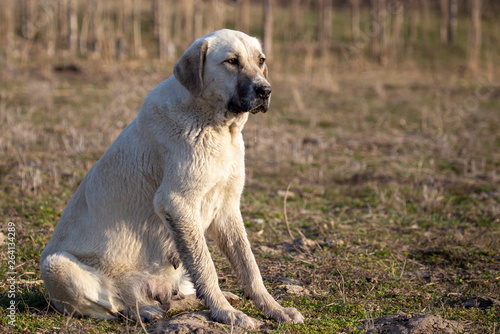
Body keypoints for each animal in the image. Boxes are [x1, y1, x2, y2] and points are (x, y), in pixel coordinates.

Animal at [40, 29, 304, 328]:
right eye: (231, 61)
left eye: (260, 60)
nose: (265, 90)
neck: (217, 127)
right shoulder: (177, 203)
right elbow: (207, 267)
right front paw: (225, 313)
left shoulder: (227, 208)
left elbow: (249, 266)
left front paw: (274, 309)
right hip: (56, 266)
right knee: (118, 305)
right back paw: (145, 310)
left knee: (173, 297)